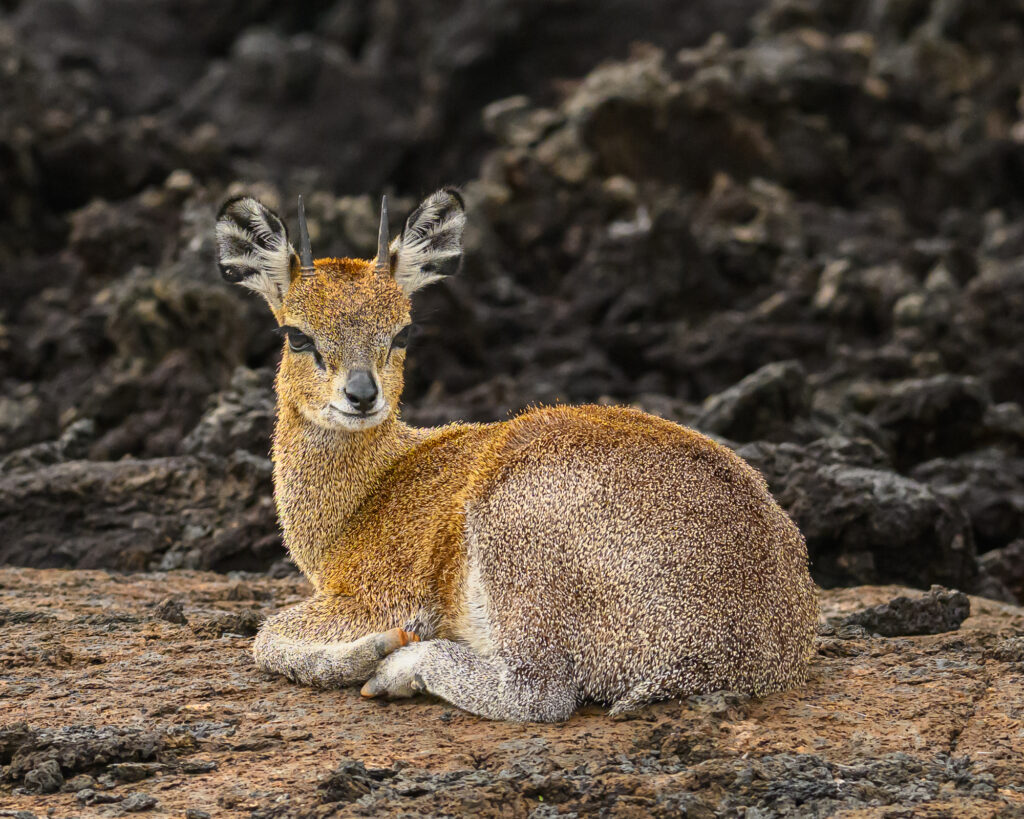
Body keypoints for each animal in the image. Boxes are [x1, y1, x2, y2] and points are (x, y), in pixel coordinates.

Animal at [214, 189, 818, 721]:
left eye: (403, 330)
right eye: (296, 334)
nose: (361, 395)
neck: (366, 496)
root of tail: (745, 651)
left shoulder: (376, 595)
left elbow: (266, 638)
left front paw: (373, 652)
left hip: (514, 547)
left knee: (538, 694)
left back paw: (396, 668)